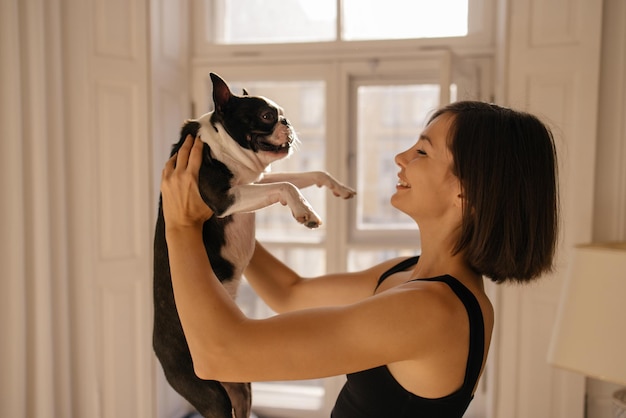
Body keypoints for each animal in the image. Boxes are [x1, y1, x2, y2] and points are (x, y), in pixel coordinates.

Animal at [152, 73, 356, 416]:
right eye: (266, 116)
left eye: (281, 114)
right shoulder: (226, 197)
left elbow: (303, 175)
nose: (288, 122)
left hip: (241, 386)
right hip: (210, 395)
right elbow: (287, 185)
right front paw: (306, 212)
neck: (221, 145)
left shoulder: (257, 183)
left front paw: (337, 187)